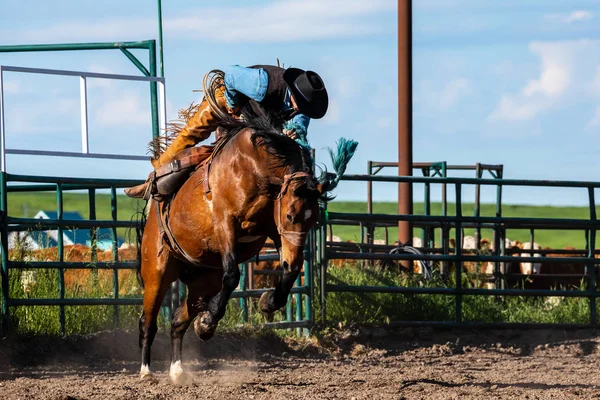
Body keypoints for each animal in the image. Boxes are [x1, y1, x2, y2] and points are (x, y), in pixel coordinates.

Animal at [138, 114, 330, 382]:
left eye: (313, 221)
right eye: (290, 215)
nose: (290, 258)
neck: (255, 167)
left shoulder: (274, 230)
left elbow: (290, 273)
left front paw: (267, 302)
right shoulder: (226, 223)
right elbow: (231, 276)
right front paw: (208, 321)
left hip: (203, 282)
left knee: (177, 321)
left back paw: (178, 370)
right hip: (157, 272)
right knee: (148, 321)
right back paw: (146, 370)